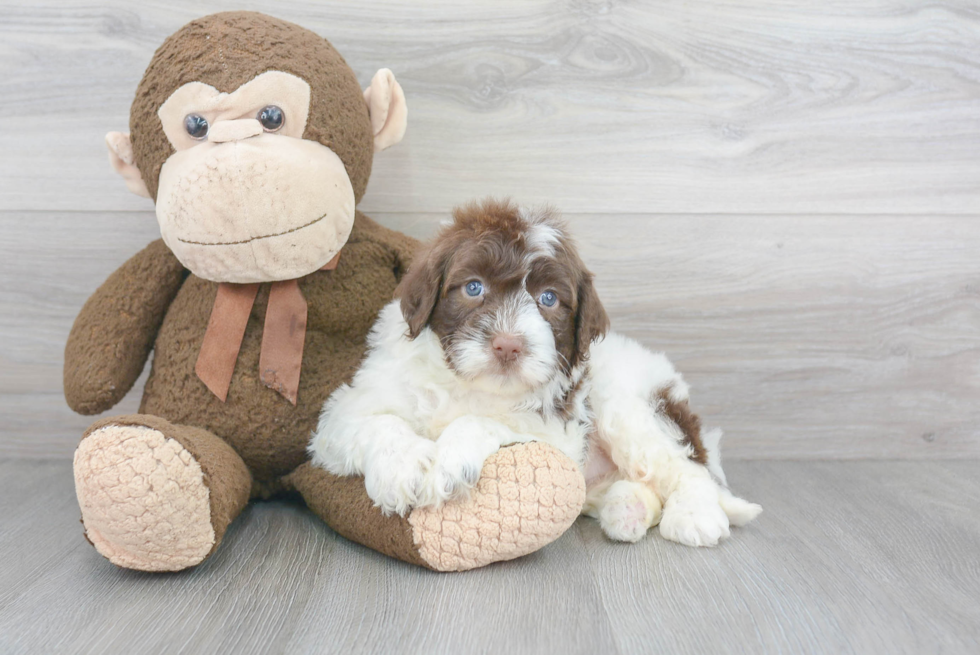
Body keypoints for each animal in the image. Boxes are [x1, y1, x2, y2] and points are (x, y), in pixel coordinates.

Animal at [310, 197, 608, 516]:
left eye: (549, 298)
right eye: (473, 287)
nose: (507, 346)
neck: (469, 387)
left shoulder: (561, 438)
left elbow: (483, 422)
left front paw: (448, 463)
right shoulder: (346, 411)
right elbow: (380, 422)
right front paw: (401, 467)